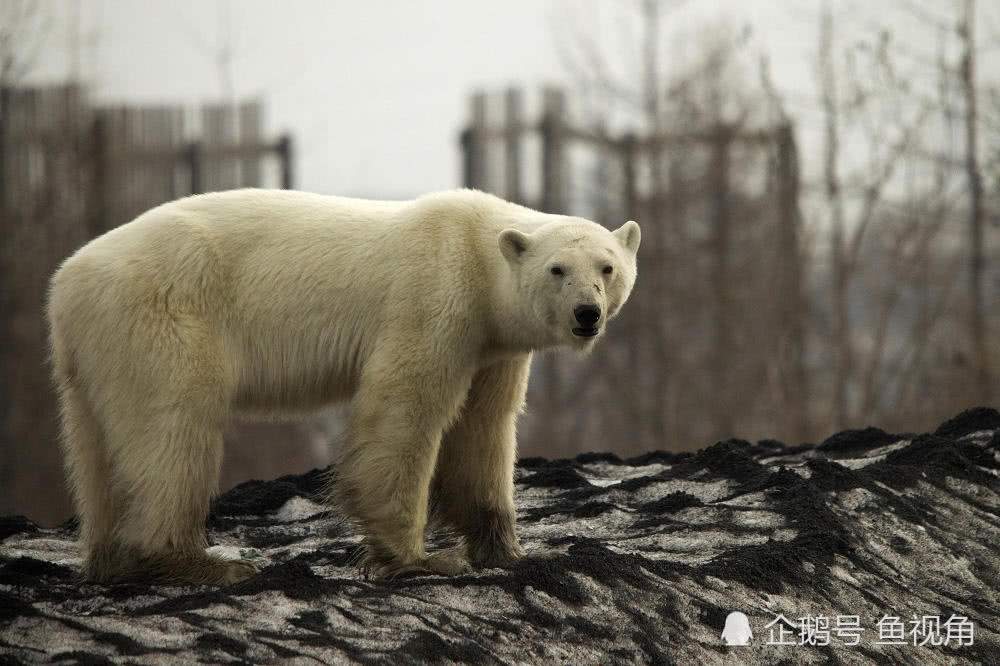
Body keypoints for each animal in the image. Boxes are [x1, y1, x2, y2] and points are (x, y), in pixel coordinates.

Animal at [47, 187, 640, 580]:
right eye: (557, 269)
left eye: (607, 267)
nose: (586, 314)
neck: (476, 249)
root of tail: (65, 283)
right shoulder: (434, 299)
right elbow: (404, 409)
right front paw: (419, 557)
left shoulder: (493, 347)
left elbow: (484, 429)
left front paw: (510, 550)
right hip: (163, 315)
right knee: (172, 428)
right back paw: (197, 561)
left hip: (95, 351)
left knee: (96, 449)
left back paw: (111, 559)